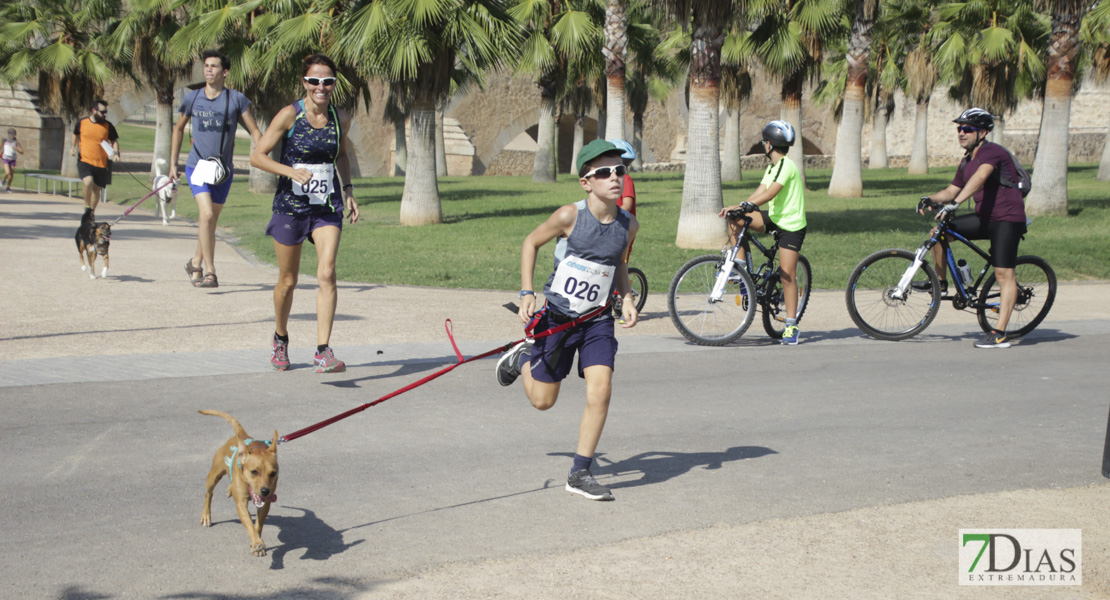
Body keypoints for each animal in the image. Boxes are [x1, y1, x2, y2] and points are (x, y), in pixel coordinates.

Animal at [203, 410, 281, 554]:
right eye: (254, 472)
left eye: (273, 473)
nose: (265, 491)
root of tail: (243, 436)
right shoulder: (241, 503)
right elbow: (249, 524)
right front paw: (257, 543)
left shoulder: (265, 504)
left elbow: (257, 525)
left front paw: (256, 542)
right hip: (214, 475)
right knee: (208, 494)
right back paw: (206, 515)